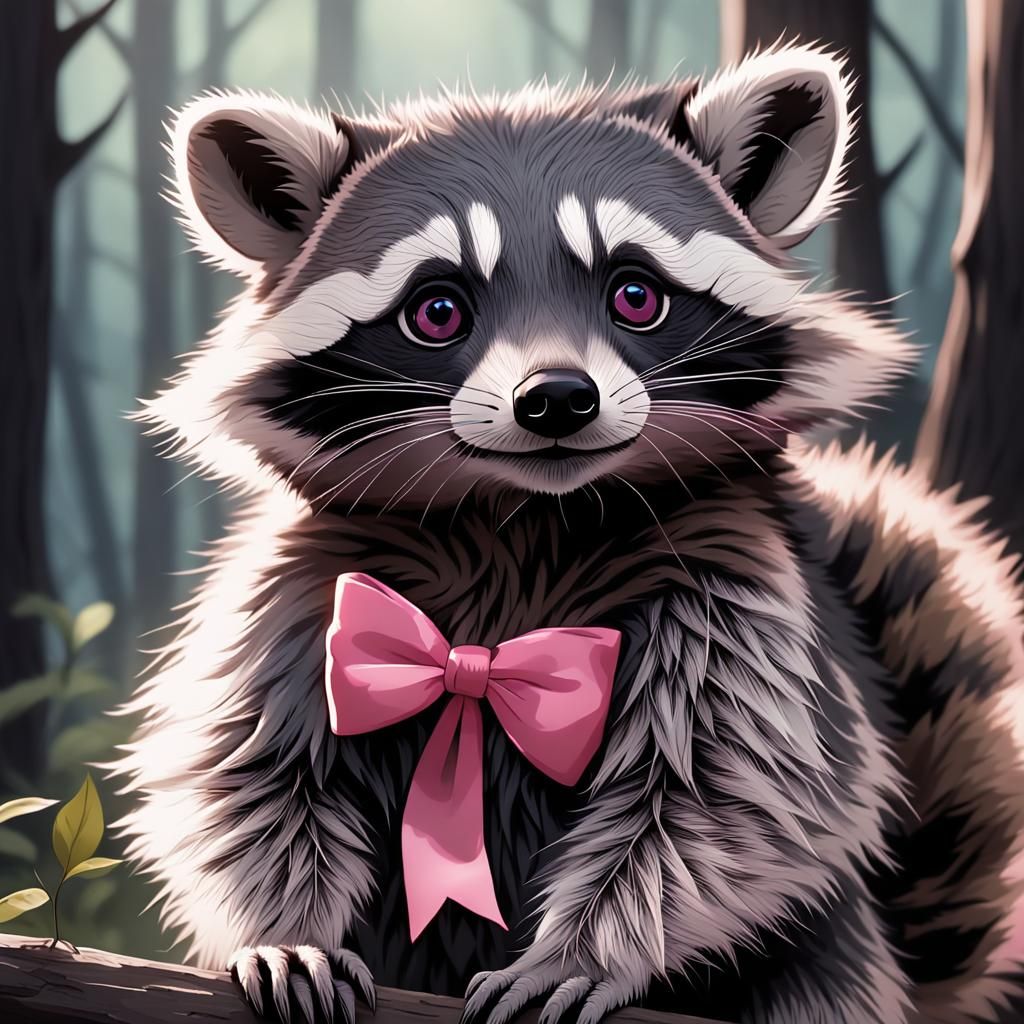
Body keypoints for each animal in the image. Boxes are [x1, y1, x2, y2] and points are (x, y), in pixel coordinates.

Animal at [113, 44, 1024, 1024]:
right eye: (438, 310)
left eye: (635, 295)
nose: (555, 399)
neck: (524, 513)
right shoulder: (307, 587)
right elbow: (256, 772)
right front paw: (287, 929)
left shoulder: (729, 588)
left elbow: (722, 789)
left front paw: (584, 950)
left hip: (824, 961)